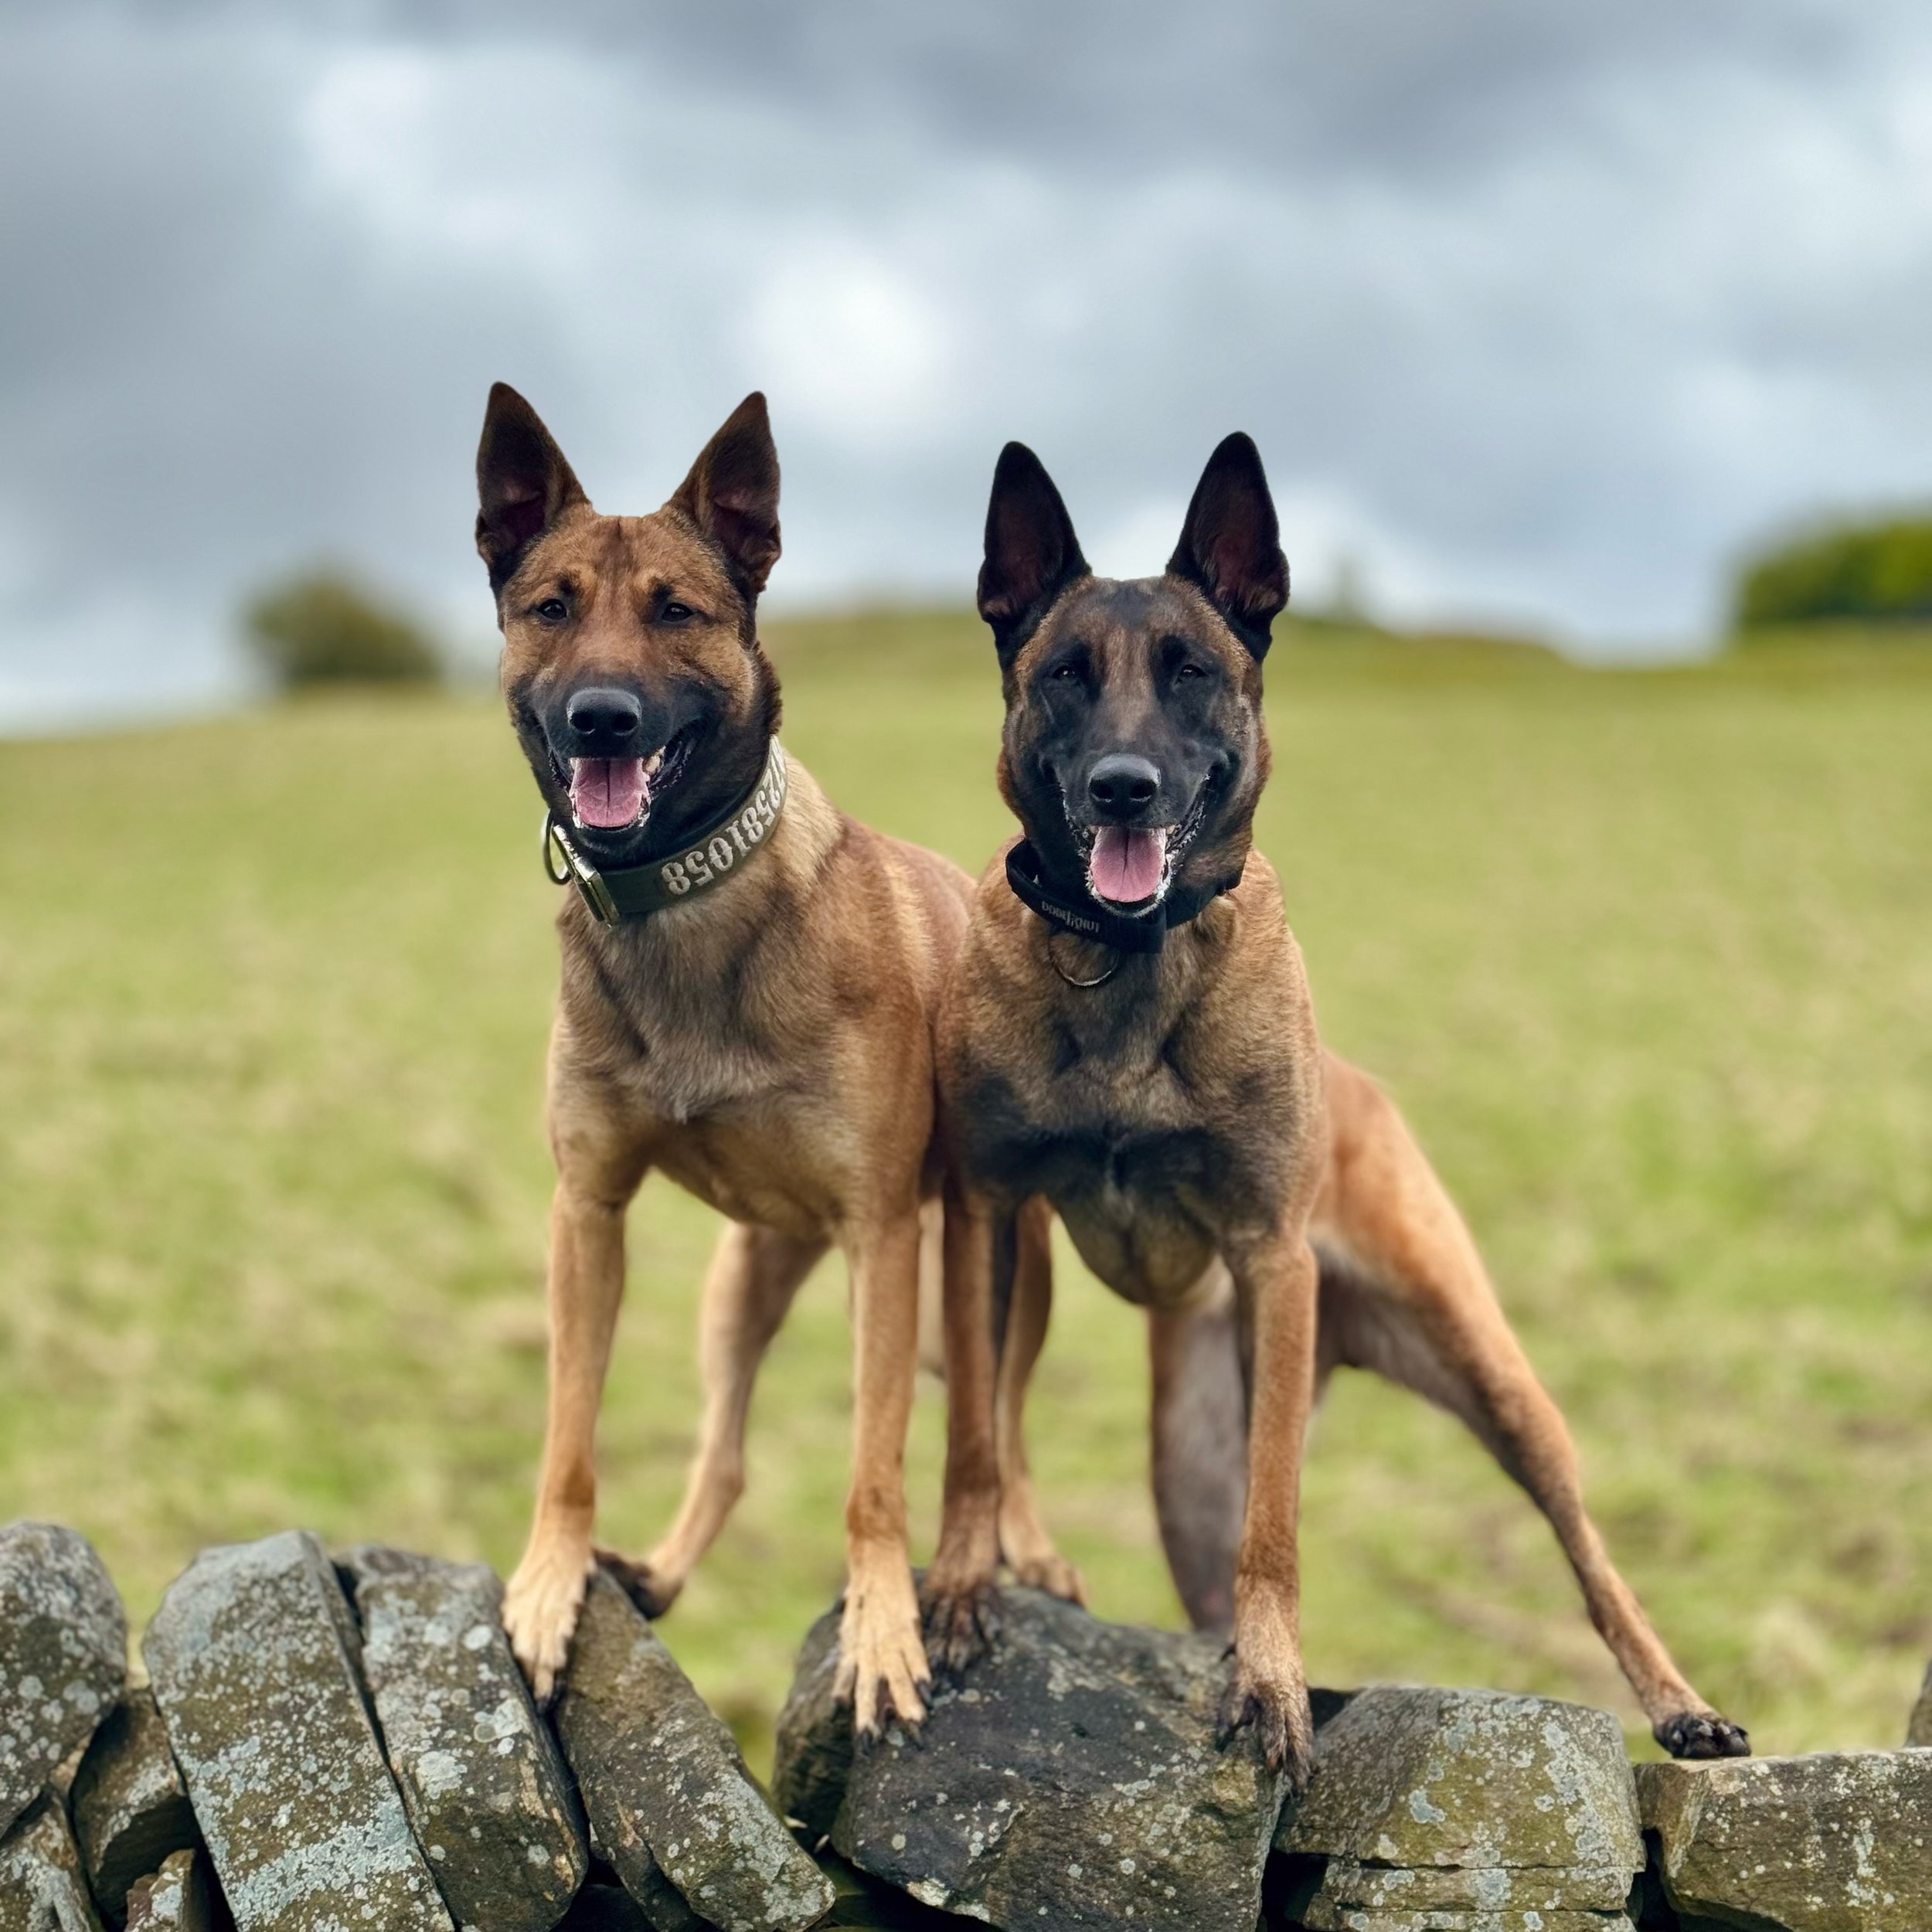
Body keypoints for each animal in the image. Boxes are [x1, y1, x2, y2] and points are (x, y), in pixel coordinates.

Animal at [477, 384, 966, 1731]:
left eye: (676, 612)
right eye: (552, 607)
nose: (601, 715)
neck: (681, 899)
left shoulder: (882, 1238)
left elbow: (873, 1472)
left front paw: (882, 1629)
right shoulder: (588, 1211)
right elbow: (568, 1435)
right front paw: (549, 1586)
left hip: (968, 1278)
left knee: (985, 1452)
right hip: (743, 1282)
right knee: (730, 1451)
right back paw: (660, 1568)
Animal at [920, 434, 1754, 1777]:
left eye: (1192, 672)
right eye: (1063, 676)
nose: (1122, 787)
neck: (1129, 964)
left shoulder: (1272, 1257)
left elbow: (1280, 1529)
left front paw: (1270, 1688)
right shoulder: (988, 1221)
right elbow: (972, 1446)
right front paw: (957, 1588)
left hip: (1491, 1374)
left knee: (1588, 1554)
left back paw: (1678, 1702)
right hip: (1185, 1462)